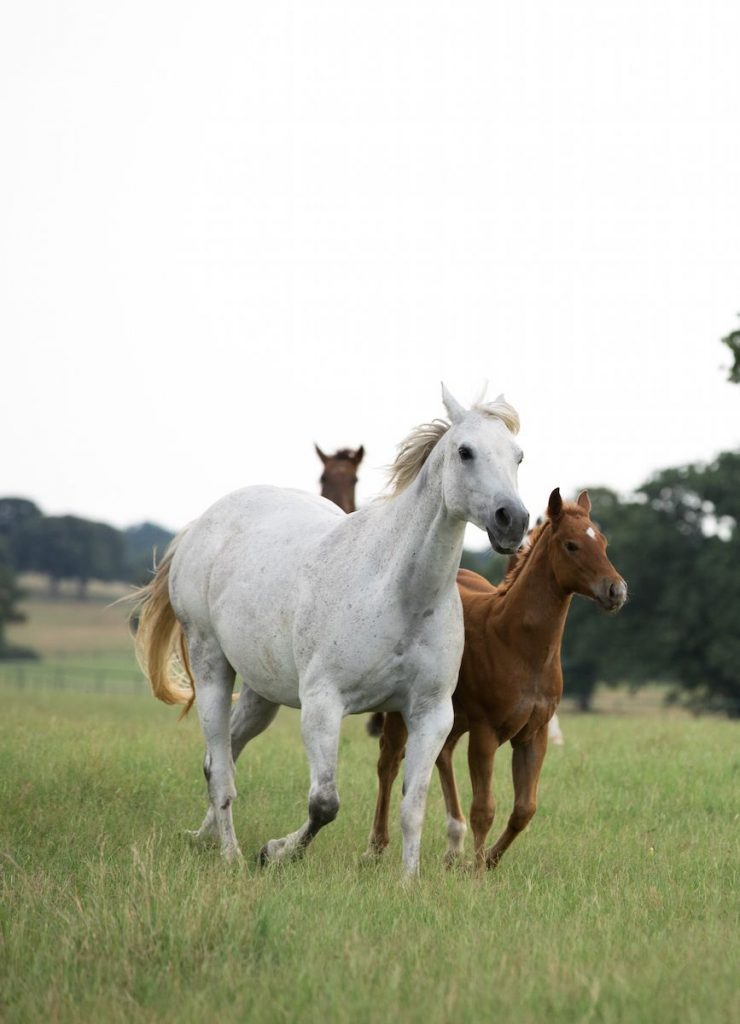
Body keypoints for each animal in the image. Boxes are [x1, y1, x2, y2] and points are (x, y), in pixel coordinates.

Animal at [132, 385, 528, 872]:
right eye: (465, 451)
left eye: (518, 456)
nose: (513, 520)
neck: (398, 592)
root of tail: (201, 524)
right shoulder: (323, 705)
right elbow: (324, 803)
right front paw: (277, 851)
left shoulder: (431, 714)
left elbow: (412, 808)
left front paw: (408, 881)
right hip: (211, 668)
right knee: (221, 768)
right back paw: (231, 854)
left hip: (263, 693)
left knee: (222, 753)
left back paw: (202, 838)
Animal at [362, 487, 626, 872]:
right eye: (571, 545)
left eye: (603, 542)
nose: (616, 591)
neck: (517, 642)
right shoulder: (486, 732)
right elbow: (484, 808)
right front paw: (477, 872)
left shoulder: (534, 734)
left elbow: (524, 809)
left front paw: (486, 861)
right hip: (406, 710)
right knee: (389, 763)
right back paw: (377, 846)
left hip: (453, 715)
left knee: (441, 756)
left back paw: (453, 846)